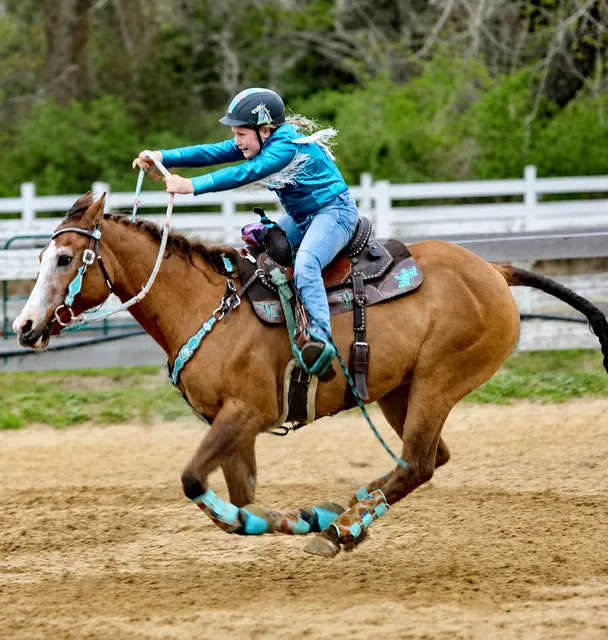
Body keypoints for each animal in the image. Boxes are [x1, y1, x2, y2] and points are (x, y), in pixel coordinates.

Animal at [13, 192, 608, 557]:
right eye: (39, 257)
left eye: (64, 259)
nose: (23, 326)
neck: (207, 305)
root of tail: (493, 269)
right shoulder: (231, 426)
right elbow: (239, 498)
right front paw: (284, 516)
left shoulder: (247, 413)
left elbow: (196, 484)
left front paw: (286, 523)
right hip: (399, 392)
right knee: (425, 460)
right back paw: (339, 513)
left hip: (439, 382)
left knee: (417, 464)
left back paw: (338, 528)